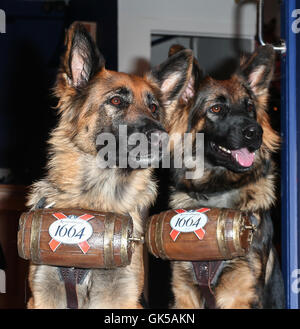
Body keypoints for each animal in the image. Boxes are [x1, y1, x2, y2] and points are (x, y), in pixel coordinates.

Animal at [27, 23, 193, 308]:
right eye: (116, 101)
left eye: (154, 108)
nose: (162, 137)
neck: (98, 198)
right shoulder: (43, 295)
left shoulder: (121, 296)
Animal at [166, 44, 286, 308]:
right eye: (216, 108)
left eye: (250, 107)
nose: (256, 133)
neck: (218, 191)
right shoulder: (184, 293)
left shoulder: (241, 294)